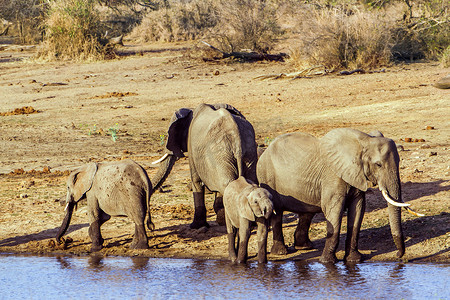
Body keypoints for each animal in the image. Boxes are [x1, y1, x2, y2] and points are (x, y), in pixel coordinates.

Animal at [256, 127, 422, 264]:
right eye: (378, 165)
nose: (398, 256)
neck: (364, 140)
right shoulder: (333, 176)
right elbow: (334, 210)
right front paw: (327, 262)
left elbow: (358, 209)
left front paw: (354, 260)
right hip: (266, 176)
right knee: (277, 212)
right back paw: (281, 253)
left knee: (306, 212)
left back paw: (304, 247)